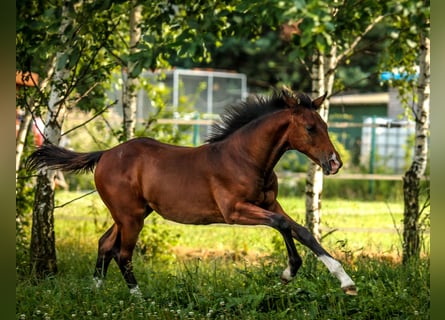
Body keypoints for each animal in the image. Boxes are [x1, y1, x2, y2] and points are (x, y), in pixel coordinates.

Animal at [25, 87, 358, 296]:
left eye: (326, 125)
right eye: (310, 128)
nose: (335, 163)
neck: (245, 158)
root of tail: (105, 154)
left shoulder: (270, 204)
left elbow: (302, 230)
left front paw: (345, 280)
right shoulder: (235, 211)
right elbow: (283, 225)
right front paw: (289, 272)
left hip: (131, 213)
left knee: (105, 244)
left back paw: (96, 290)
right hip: (131, 217)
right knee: (122, 253)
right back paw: (138, 298)